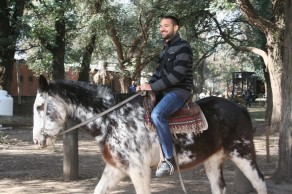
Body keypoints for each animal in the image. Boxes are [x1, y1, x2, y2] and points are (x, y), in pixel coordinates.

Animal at [32, 75, 266, 193]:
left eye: (39, 106)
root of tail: (240, 108)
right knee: (219, 188)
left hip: (242, 153)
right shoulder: (116, 169)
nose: (36, 140)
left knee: (260, 182)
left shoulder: (139, 171)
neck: (112, 118)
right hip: (212, 160)